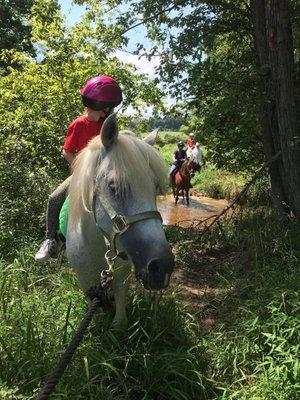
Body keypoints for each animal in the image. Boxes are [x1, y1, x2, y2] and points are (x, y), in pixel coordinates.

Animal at [65, 114, 173, 330]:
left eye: (155, 187)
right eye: (113, 186)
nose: (162, 266)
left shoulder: (122, 272)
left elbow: (120, 298)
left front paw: (118, 324)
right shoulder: (84, 279)